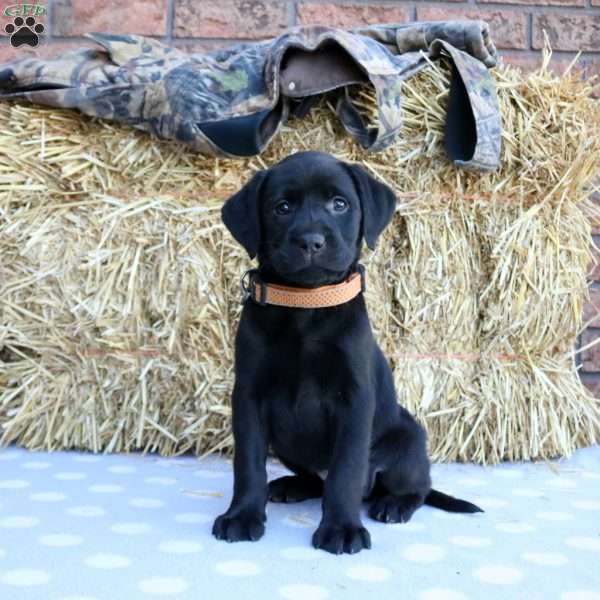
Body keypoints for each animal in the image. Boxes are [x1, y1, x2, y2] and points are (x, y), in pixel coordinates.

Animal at [213, 150, 480, 552]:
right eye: (282, 207)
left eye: (339, 204)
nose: (311, 241)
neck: (305, 306)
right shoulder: (248, 395)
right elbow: (248, 464)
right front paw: (242, 516)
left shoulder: (355, 400)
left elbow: (347, 472)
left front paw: (341, 528)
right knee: (316, 479)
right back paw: (291, 485)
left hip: (407, 440)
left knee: (416, 486)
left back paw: (394, 505)